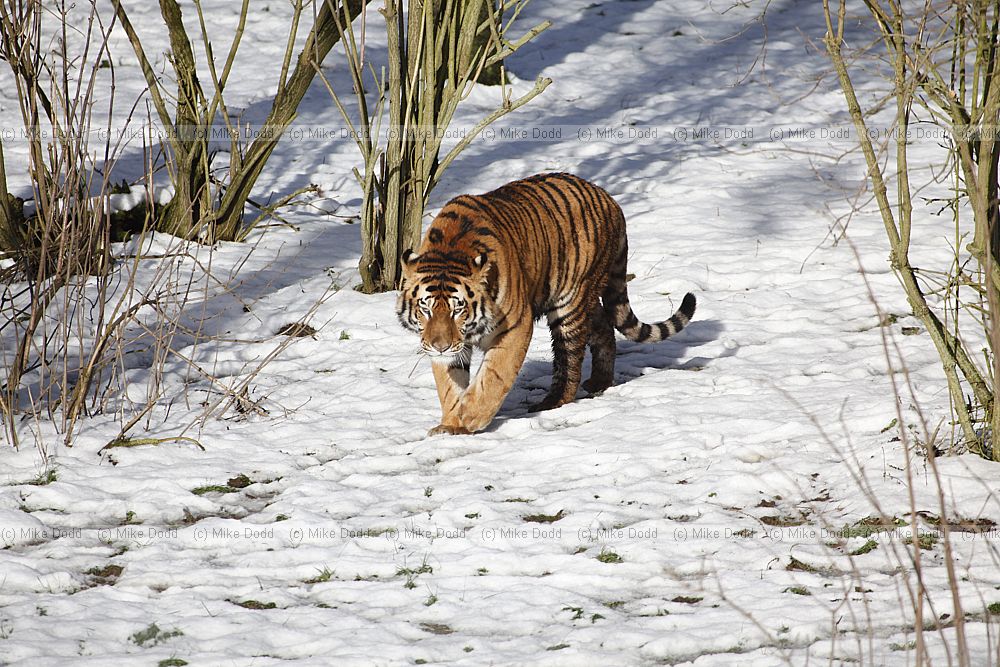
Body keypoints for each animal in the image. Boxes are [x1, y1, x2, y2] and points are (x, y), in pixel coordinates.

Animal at [397, 172, 696, 436]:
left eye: (458, 309)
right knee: (603, 327)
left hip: (569, 304)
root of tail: (609, 199)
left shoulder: (515, 325)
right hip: (586, 299)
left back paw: (553, 401)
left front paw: (470, 415)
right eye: (425, 308)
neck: (449, 251)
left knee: (570, 360)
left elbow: (494, 376)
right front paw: (451, 424)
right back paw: (599, 381)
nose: (440, 346)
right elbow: (449, 385)